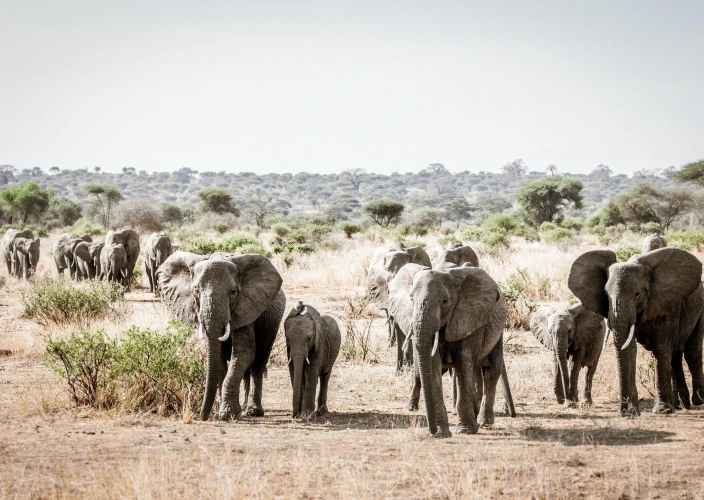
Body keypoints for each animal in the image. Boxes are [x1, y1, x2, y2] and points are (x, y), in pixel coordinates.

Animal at [157, 251, 286, 421]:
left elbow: (243, 353)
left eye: (233, 292)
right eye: (196, 291)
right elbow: (217, 359)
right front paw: (220, 414)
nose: (202, 417)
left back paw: (254, 412)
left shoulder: (246, 307)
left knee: (258, 363)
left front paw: (228, 414)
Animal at [388, 263, 516, 437]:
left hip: (497, 328)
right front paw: (442, 433)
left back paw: (484, 422)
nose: (432, 431)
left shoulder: (471, 316)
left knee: (491, 370)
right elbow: (433, 367)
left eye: (444, 301)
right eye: (411, 299)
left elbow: (464, 363)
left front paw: (465, 430)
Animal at [568, 247, 704, 415]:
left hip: (699, 311)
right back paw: (681, 405)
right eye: (606, 294)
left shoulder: (666, 305)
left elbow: (661, 350)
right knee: (676, 357)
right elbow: (630, 348)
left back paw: (698, 401)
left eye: (637, 293)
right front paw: (632, 411)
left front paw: (661, 410)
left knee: (692, 353)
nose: (623, 411)